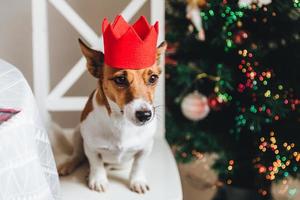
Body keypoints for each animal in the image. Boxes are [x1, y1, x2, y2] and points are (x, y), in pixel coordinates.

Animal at [58, 35, 166, 194]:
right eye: (120, 79)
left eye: (153, 78)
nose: (145, 115)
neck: (121, 121)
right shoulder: (91, 147)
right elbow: (96, 163)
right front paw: (98, 179)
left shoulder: (145, 148)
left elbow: (138, 165)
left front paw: (137, 181)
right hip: (78, 133)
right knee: (78, 155)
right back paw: (69, 164)